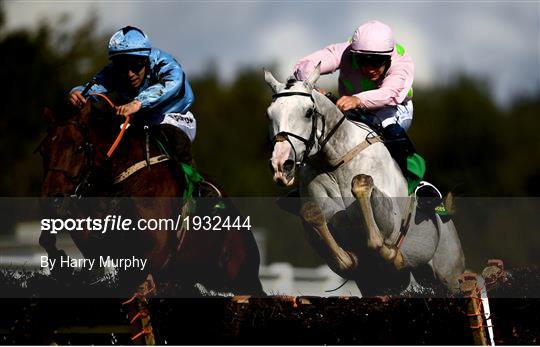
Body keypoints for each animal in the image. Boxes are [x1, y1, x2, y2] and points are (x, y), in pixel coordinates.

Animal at [37, 94, 264, 298]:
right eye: (42, 150)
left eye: (79, 147)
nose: (52, 199)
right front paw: (62, 267)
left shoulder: (157, 248)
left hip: (241, 275)